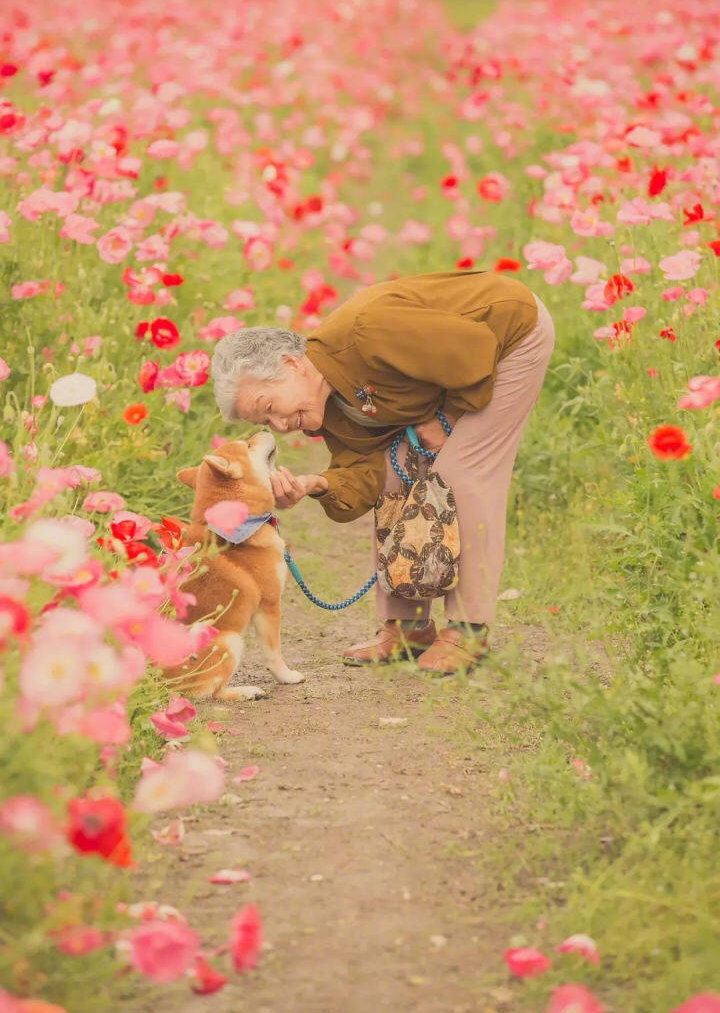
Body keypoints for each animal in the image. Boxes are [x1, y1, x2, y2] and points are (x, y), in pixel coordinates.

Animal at [166, 431, 303, 700]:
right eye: (249, 445)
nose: (265, 429)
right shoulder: (269, 606)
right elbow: (274, 654)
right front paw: (287, 677)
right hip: (230, 640)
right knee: (210, 692)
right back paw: (245, 691)